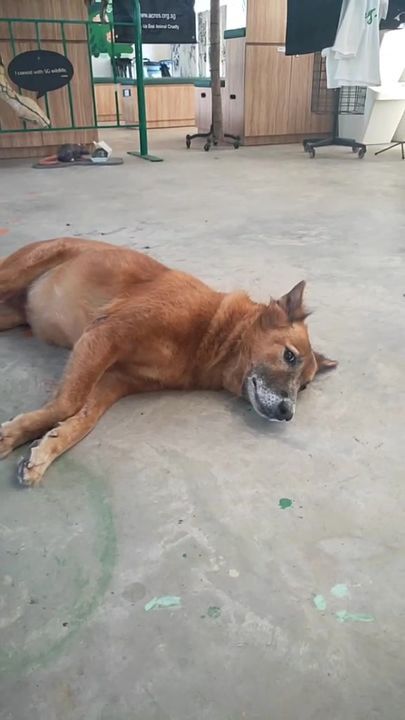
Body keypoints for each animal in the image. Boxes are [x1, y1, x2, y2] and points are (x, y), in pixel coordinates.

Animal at [0, 239, 334, 486]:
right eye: (289, 356)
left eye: (304, 387)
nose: (287, 413)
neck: (208, 332)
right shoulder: (106, 332)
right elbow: (67, 403)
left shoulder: (114, 380)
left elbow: (82, 419)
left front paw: (40, 446)